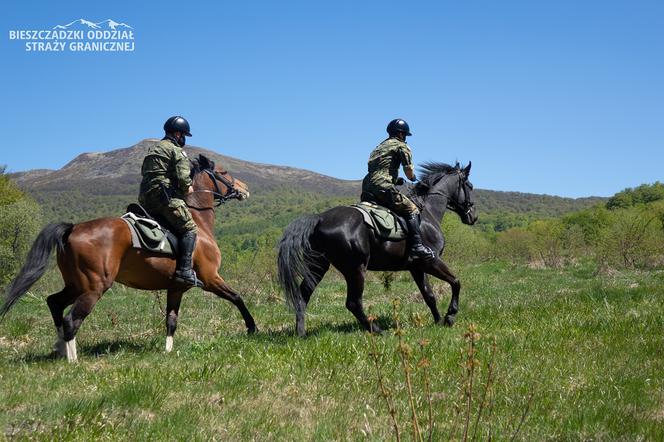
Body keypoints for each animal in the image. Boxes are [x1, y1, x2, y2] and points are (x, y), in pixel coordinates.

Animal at [0, 154, 256, 360]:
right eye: (224, 173)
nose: (245, 188)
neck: (198, 223)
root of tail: (72, 229)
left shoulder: (176, 288)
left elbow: (171, 321)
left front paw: (168, 351)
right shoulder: (211, 278)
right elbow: (237, 298)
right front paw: (252, 328)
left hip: (75, 284)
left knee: (54, 302)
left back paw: (61, 348)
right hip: (94, 287)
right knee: (71, 319)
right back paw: (72, 360)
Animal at [276, 161, 478, 334]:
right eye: (469, 186)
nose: (473, 217)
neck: (427, 213)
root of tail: (319, 218)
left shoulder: (416, 267)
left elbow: (429, 295)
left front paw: (438, 321)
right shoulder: (431, 261)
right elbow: (456, 282)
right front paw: (450, 316)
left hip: (318, 266)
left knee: (303, 296)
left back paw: (301, 333)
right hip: (356, 268)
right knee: (353, 303)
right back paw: (377, 330)